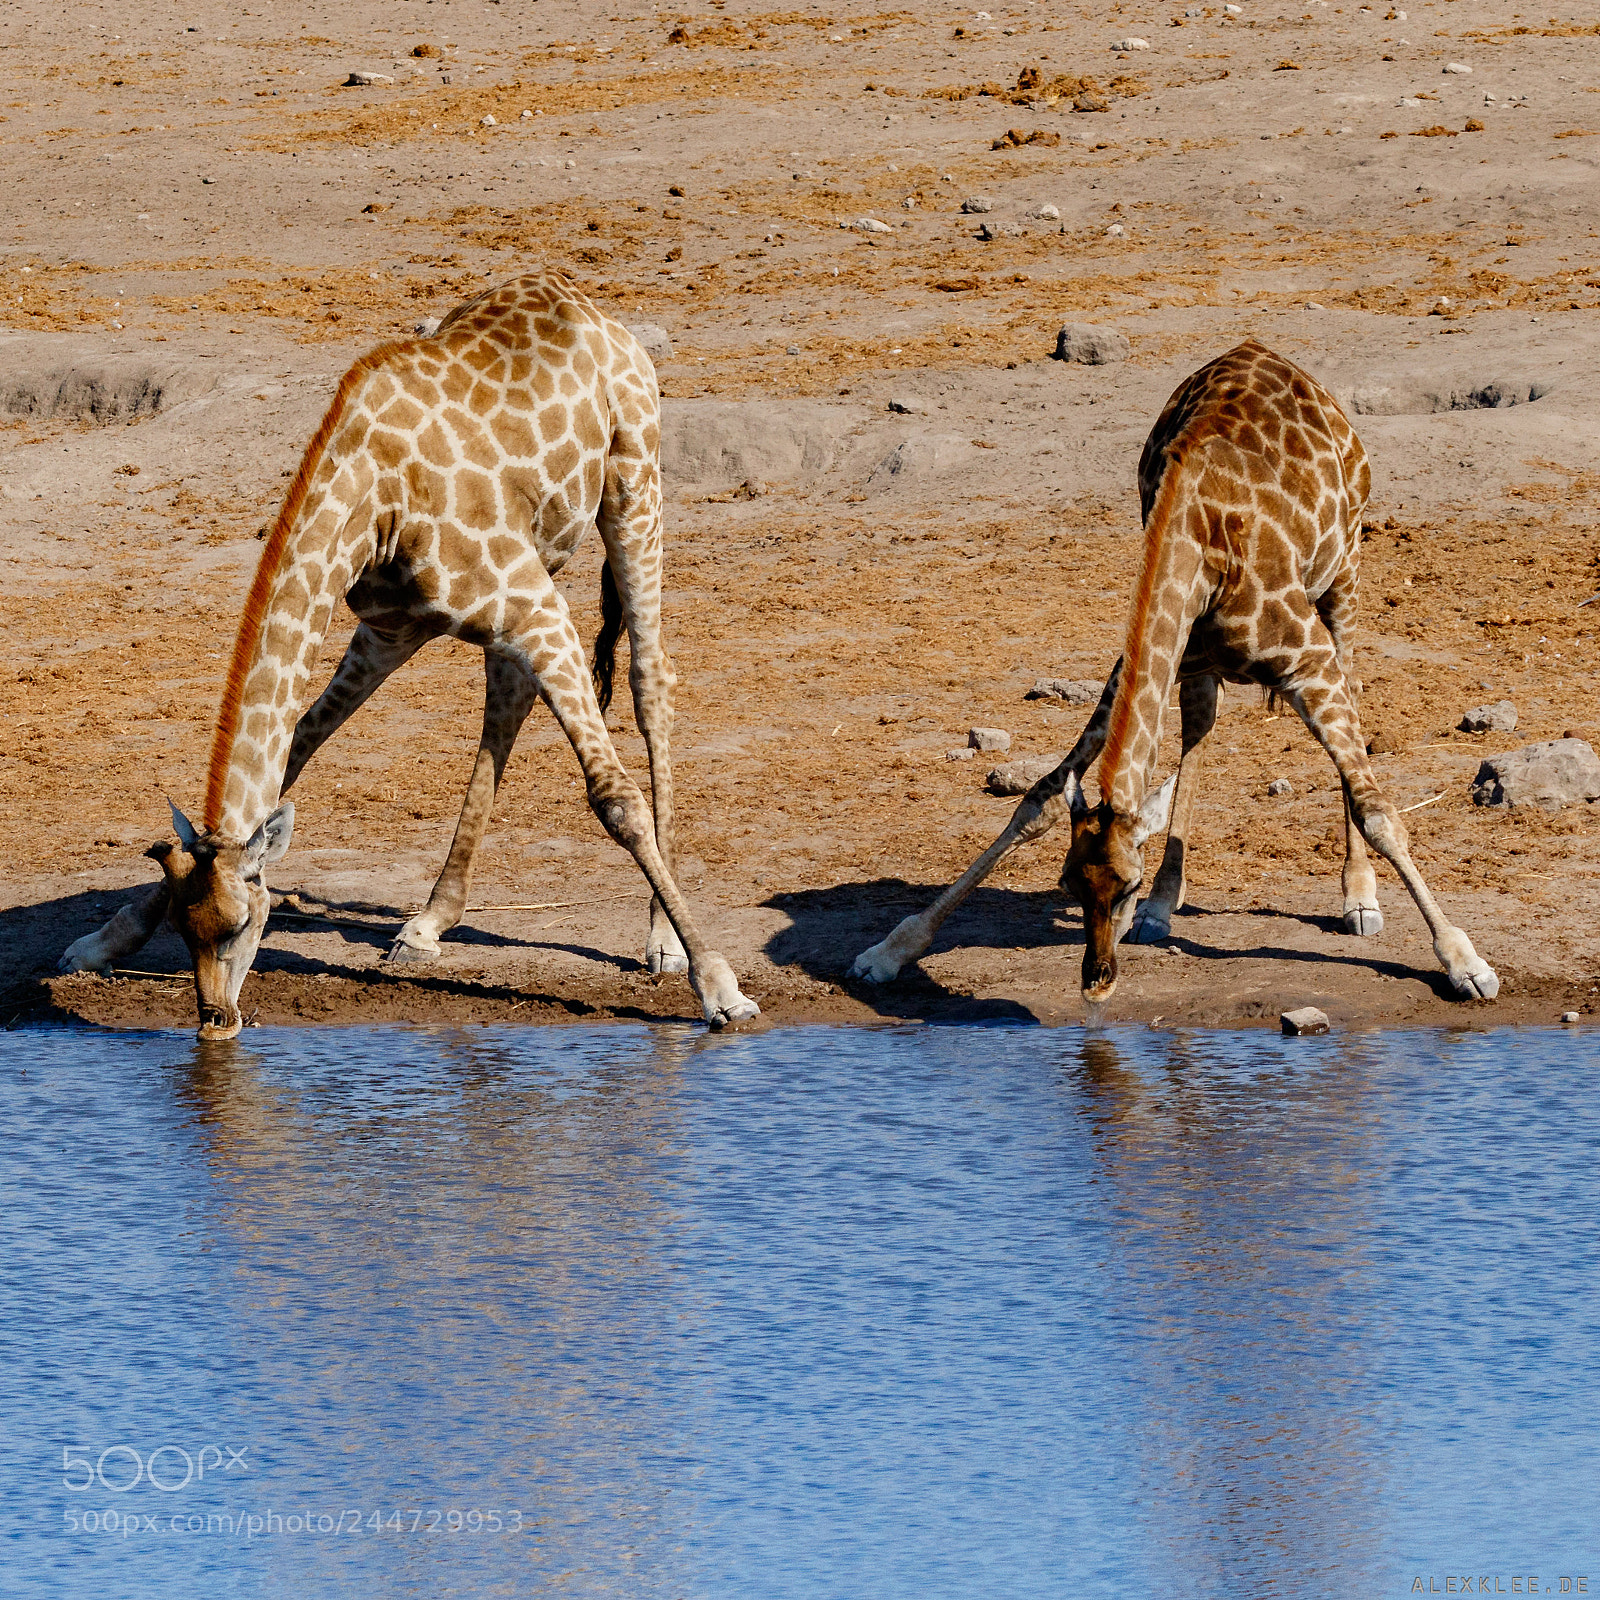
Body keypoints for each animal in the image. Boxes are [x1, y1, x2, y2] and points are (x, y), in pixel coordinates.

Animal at [59, 271, 760, 1038]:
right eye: (188, 932)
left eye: (243, 925)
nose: (216, 1019)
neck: (375, 501)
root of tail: (586, 303)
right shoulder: (393, 628)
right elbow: (296, 745)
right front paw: (103, 940)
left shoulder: (536, 609)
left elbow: (614, 798)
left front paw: (718, 985)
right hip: (527, 580)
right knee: (506, 702)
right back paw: (427, 921)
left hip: (634, 487)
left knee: (648, 679)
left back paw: (660, 937)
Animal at [850, 339, 1498, 1007]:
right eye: (1069, 885)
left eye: (1125, 886)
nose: (1097, 983)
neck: (1201, 542)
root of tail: (1268, 352)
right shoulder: (1152, 663)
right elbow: (1041, 797)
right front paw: (888, 952)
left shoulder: (1310, 660)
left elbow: (1378, 813)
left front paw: (1463, 961)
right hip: (1203, 668)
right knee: (1199, 733)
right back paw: (1168, 903)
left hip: (1344, 578)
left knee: (1352, 701)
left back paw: (1357, 897)